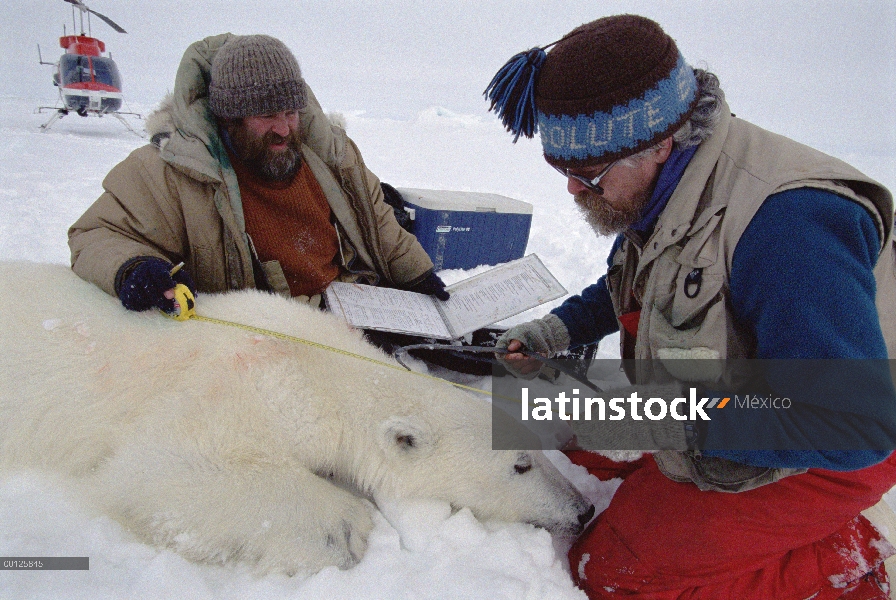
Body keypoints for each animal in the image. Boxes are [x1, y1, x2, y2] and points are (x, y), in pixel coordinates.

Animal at [0, 262, 596, 576]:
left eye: (537, 451)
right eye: (519, 466)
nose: (584, 509)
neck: (314, 366)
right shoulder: (229, 392)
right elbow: (156, 472)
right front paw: (345, 530)